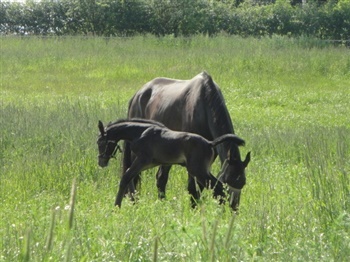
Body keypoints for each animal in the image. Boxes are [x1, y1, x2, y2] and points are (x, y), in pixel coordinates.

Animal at [124, 71, 250, 211]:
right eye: (227, 180)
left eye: (242, 183)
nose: (234, 207)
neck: (204, 104)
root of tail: (137, 95)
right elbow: (192, 188)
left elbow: (200, 186)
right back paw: (134, 202)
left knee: (161, 178)